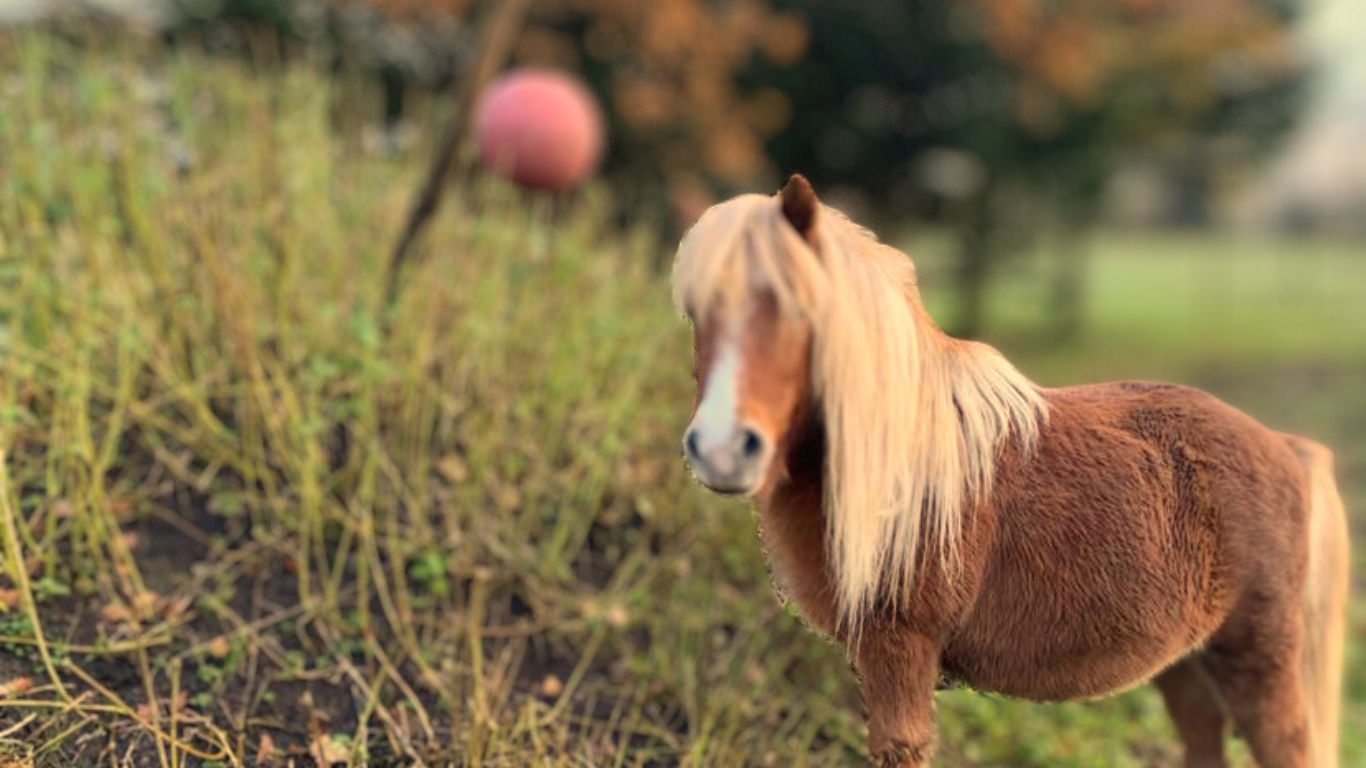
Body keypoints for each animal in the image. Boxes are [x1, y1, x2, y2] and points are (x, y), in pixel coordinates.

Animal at [669, 174, 1344, 765]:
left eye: (798, 310)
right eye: (698, 313)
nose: (722, 448)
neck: (902, 463)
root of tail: (1286, 448)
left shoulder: (901, 655)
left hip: (1259, 666)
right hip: (1187, 670)